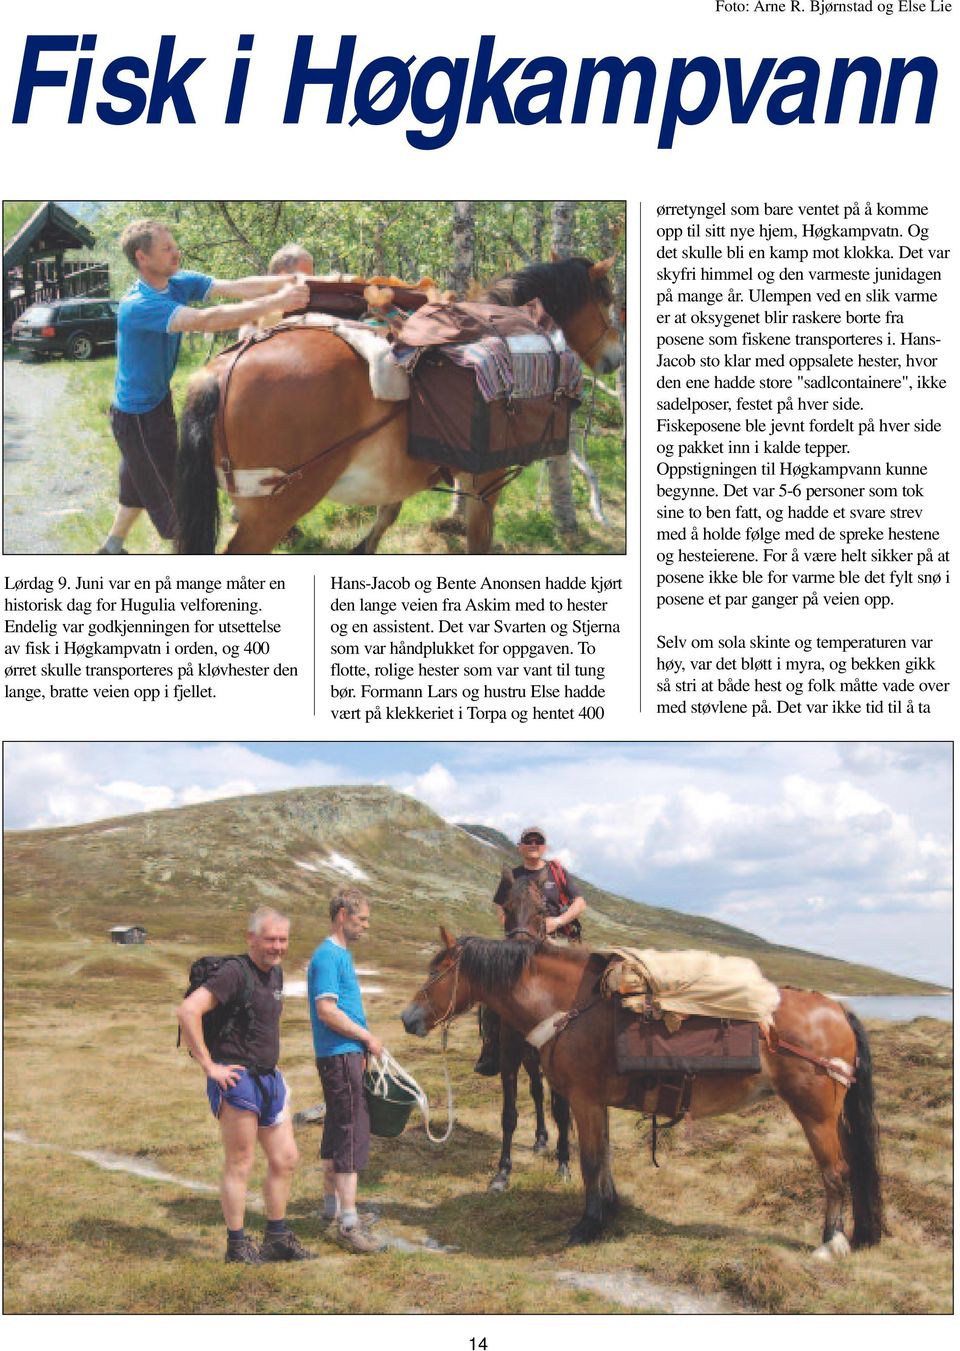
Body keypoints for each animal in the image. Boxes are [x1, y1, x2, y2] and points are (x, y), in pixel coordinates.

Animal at [172, 258, 623, 553]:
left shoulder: (400, 476)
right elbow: (478, 540)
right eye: (607, 301)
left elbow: (384, 518)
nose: (616, 358)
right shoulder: (486, 481)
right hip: (273, 511)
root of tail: (220, 371)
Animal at [399, 924, 885, 1248]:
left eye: (437, 971)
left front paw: (587, 1226)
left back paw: (830, 1242)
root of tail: (837, 1009)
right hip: (833, 1115)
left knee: (836, 1171)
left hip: (815, 1113)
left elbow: (591, 1162)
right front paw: (609, 1210)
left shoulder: (584, 1100)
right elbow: (605, 1159)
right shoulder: (597, 1103)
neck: (569, 1006)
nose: (408, 1019)